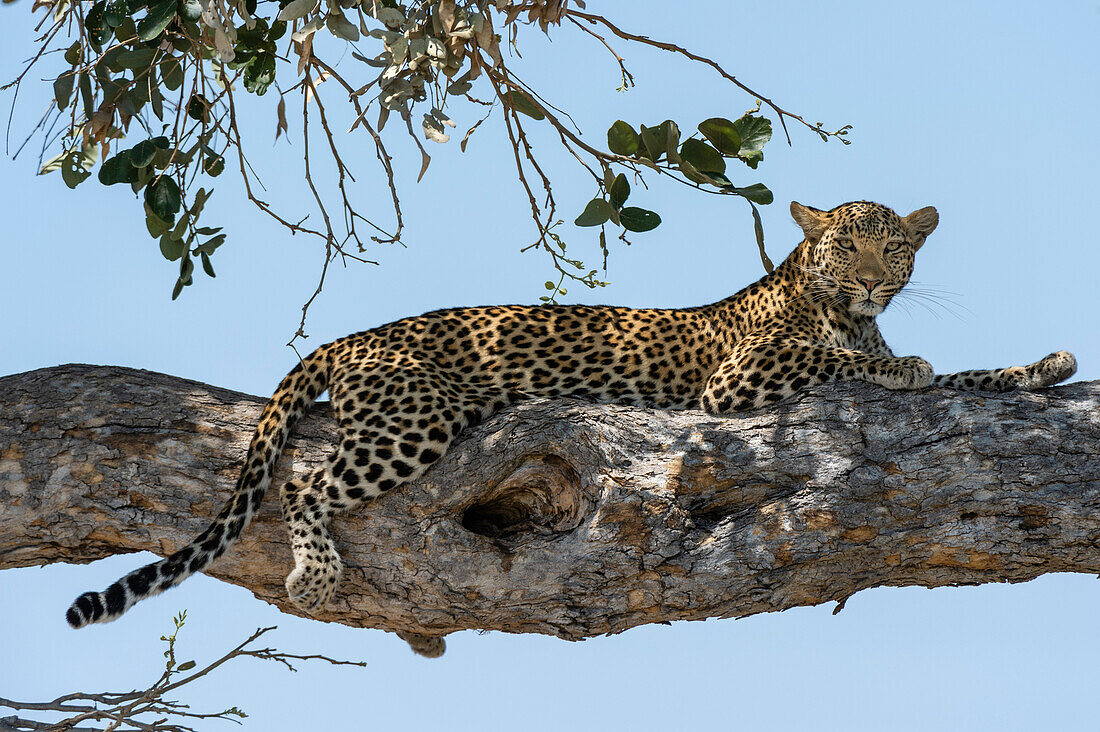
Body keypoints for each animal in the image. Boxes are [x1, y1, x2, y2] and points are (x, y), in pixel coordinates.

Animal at [64, 197, 1078, 651]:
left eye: (894, 247)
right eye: (846, 246)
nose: (870, 280)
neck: (838, 306)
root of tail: (353, 337)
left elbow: (967, 375)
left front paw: (1042, 367)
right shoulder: (741, 378)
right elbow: (851, 360)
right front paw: (903, 362)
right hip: (418, 415)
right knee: (309, 482)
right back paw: (315, 571)